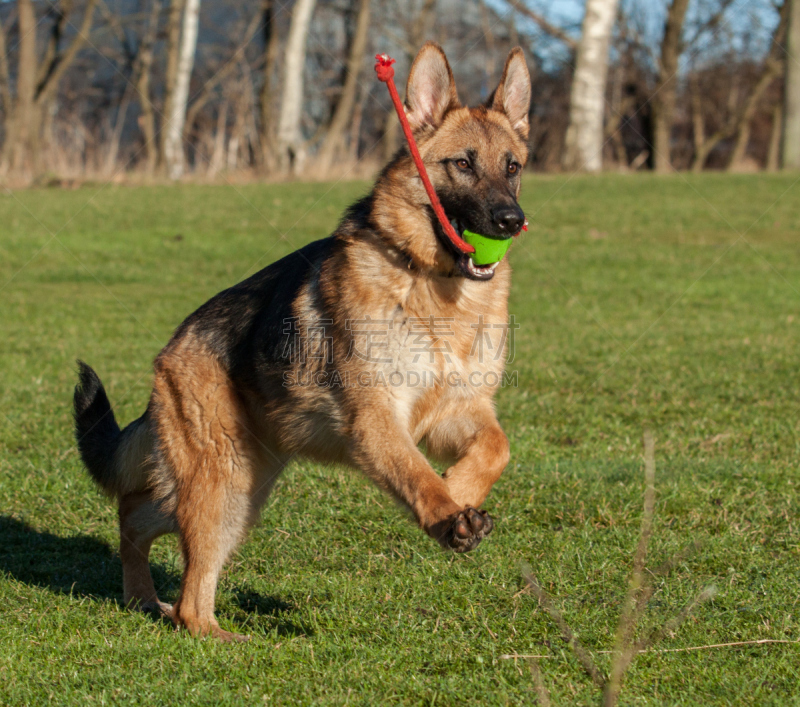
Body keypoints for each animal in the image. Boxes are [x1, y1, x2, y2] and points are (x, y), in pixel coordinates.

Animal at [73, 42, 532, 640]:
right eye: (462, 164)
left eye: (512, 167)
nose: (511, 220)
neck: (432, 287)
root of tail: (169, 352)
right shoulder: (376, 421)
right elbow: (415, 474)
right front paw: (447, 509)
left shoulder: (457, 411)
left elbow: (497, 447)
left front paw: (461, 492)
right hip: (224, 485)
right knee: (190, 598)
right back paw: (221, 635)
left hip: (243, 486)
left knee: (135, 513)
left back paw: (145, 599)